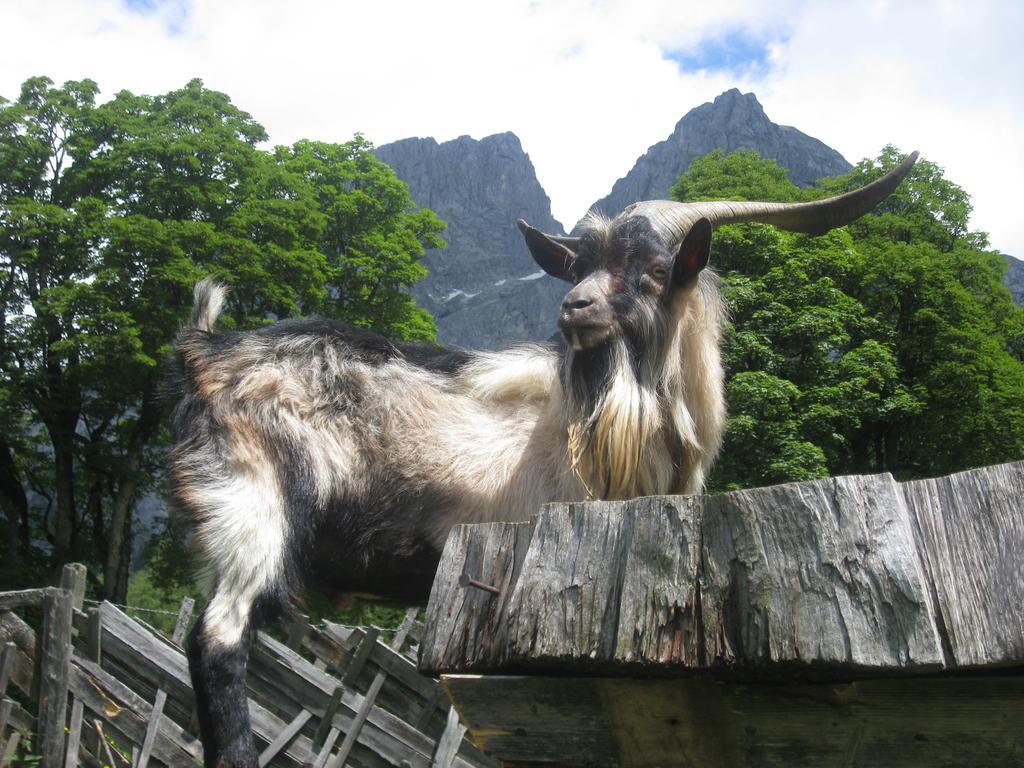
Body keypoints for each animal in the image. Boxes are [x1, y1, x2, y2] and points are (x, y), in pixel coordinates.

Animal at [172, 153, 917, 765]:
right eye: (581, 265)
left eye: (654, 271)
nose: (574, 305)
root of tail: (208, 348)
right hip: (258, 500)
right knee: (219, 637)